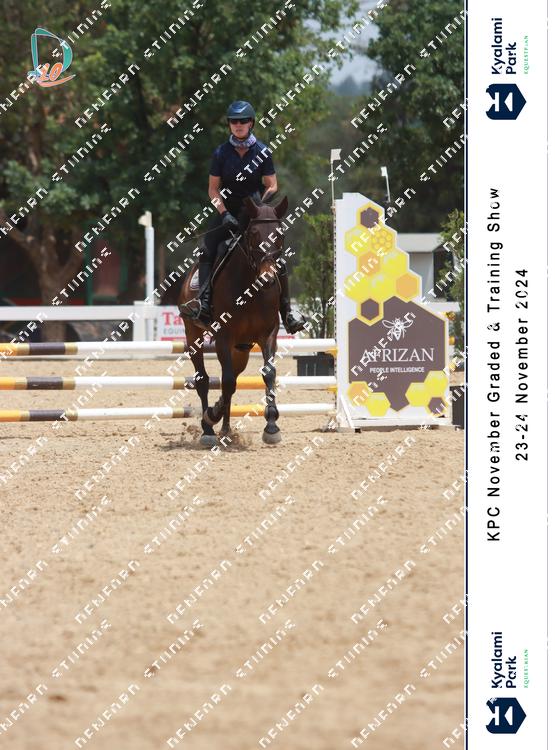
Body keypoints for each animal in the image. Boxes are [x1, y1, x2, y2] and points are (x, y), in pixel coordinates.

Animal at [178, 195, 289, 446]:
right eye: (254, 233)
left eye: (279, 234)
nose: (268, 278)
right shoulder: (223, 337)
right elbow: (227, 382)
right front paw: (211, 416)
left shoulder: (268, 334)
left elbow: (268, 374)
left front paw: (272, 426)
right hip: (194, 335)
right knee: (204, 380)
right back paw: (210, 430)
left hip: (242, 349)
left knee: (232, 379)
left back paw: (226, 429)